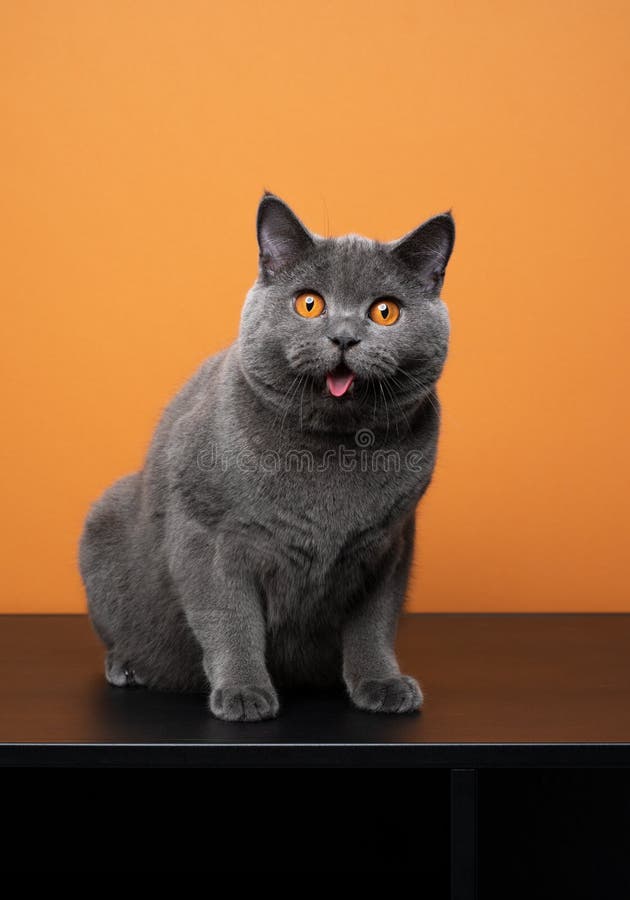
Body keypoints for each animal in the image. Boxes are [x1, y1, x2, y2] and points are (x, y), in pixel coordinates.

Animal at [79, 193, 456, 720]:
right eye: (309, 303)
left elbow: (374, 625)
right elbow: (231, 618)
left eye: (385, 312)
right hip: (106, 518)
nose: (344, 337)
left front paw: (382, 683)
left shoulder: (388, 544)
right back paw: (129, 666)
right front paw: (242, 692)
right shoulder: (209, 535)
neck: (332, 450)